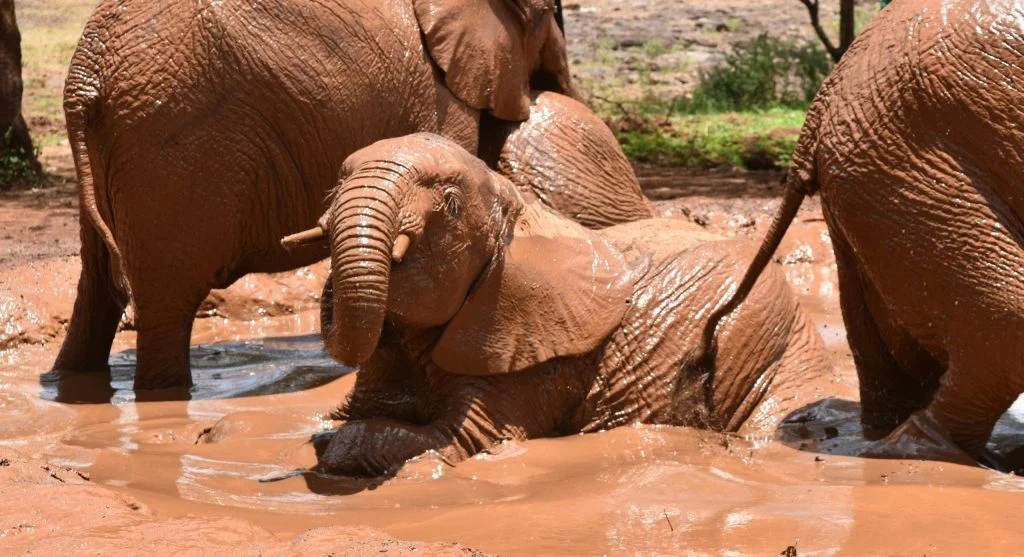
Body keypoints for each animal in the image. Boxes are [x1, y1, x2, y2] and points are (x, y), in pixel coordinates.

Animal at [55, 0, 579, 391]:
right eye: (546, 16)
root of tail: (84, 78)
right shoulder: (442, 96)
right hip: (172, 147)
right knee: (166, 305)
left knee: (98, 289)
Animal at [281, 133, 831, 477]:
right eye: (338, 181)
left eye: (451, 204)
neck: (518, 209)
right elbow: (334, 415)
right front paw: (319, 434)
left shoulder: (529, 354)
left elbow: (462, 439)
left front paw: (334, 448)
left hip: (767, 339)